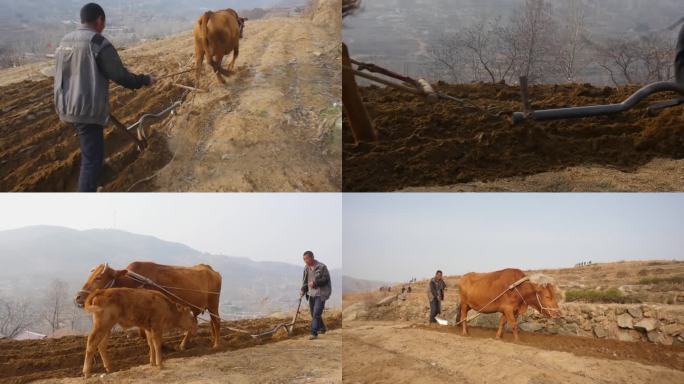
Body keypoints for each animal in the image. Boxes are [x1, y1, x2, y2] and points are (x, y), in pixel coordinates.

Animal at [77, 262, 222, 350]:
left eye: (98, 277)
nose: (78, 297)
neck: (134, 283)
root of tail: (210, 269)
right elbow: (143, 333)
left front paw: (163, 346)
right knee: (200, 323)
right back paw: (186, 344)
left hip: (213, 304)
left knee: (216, 322)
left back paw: (216, 345)